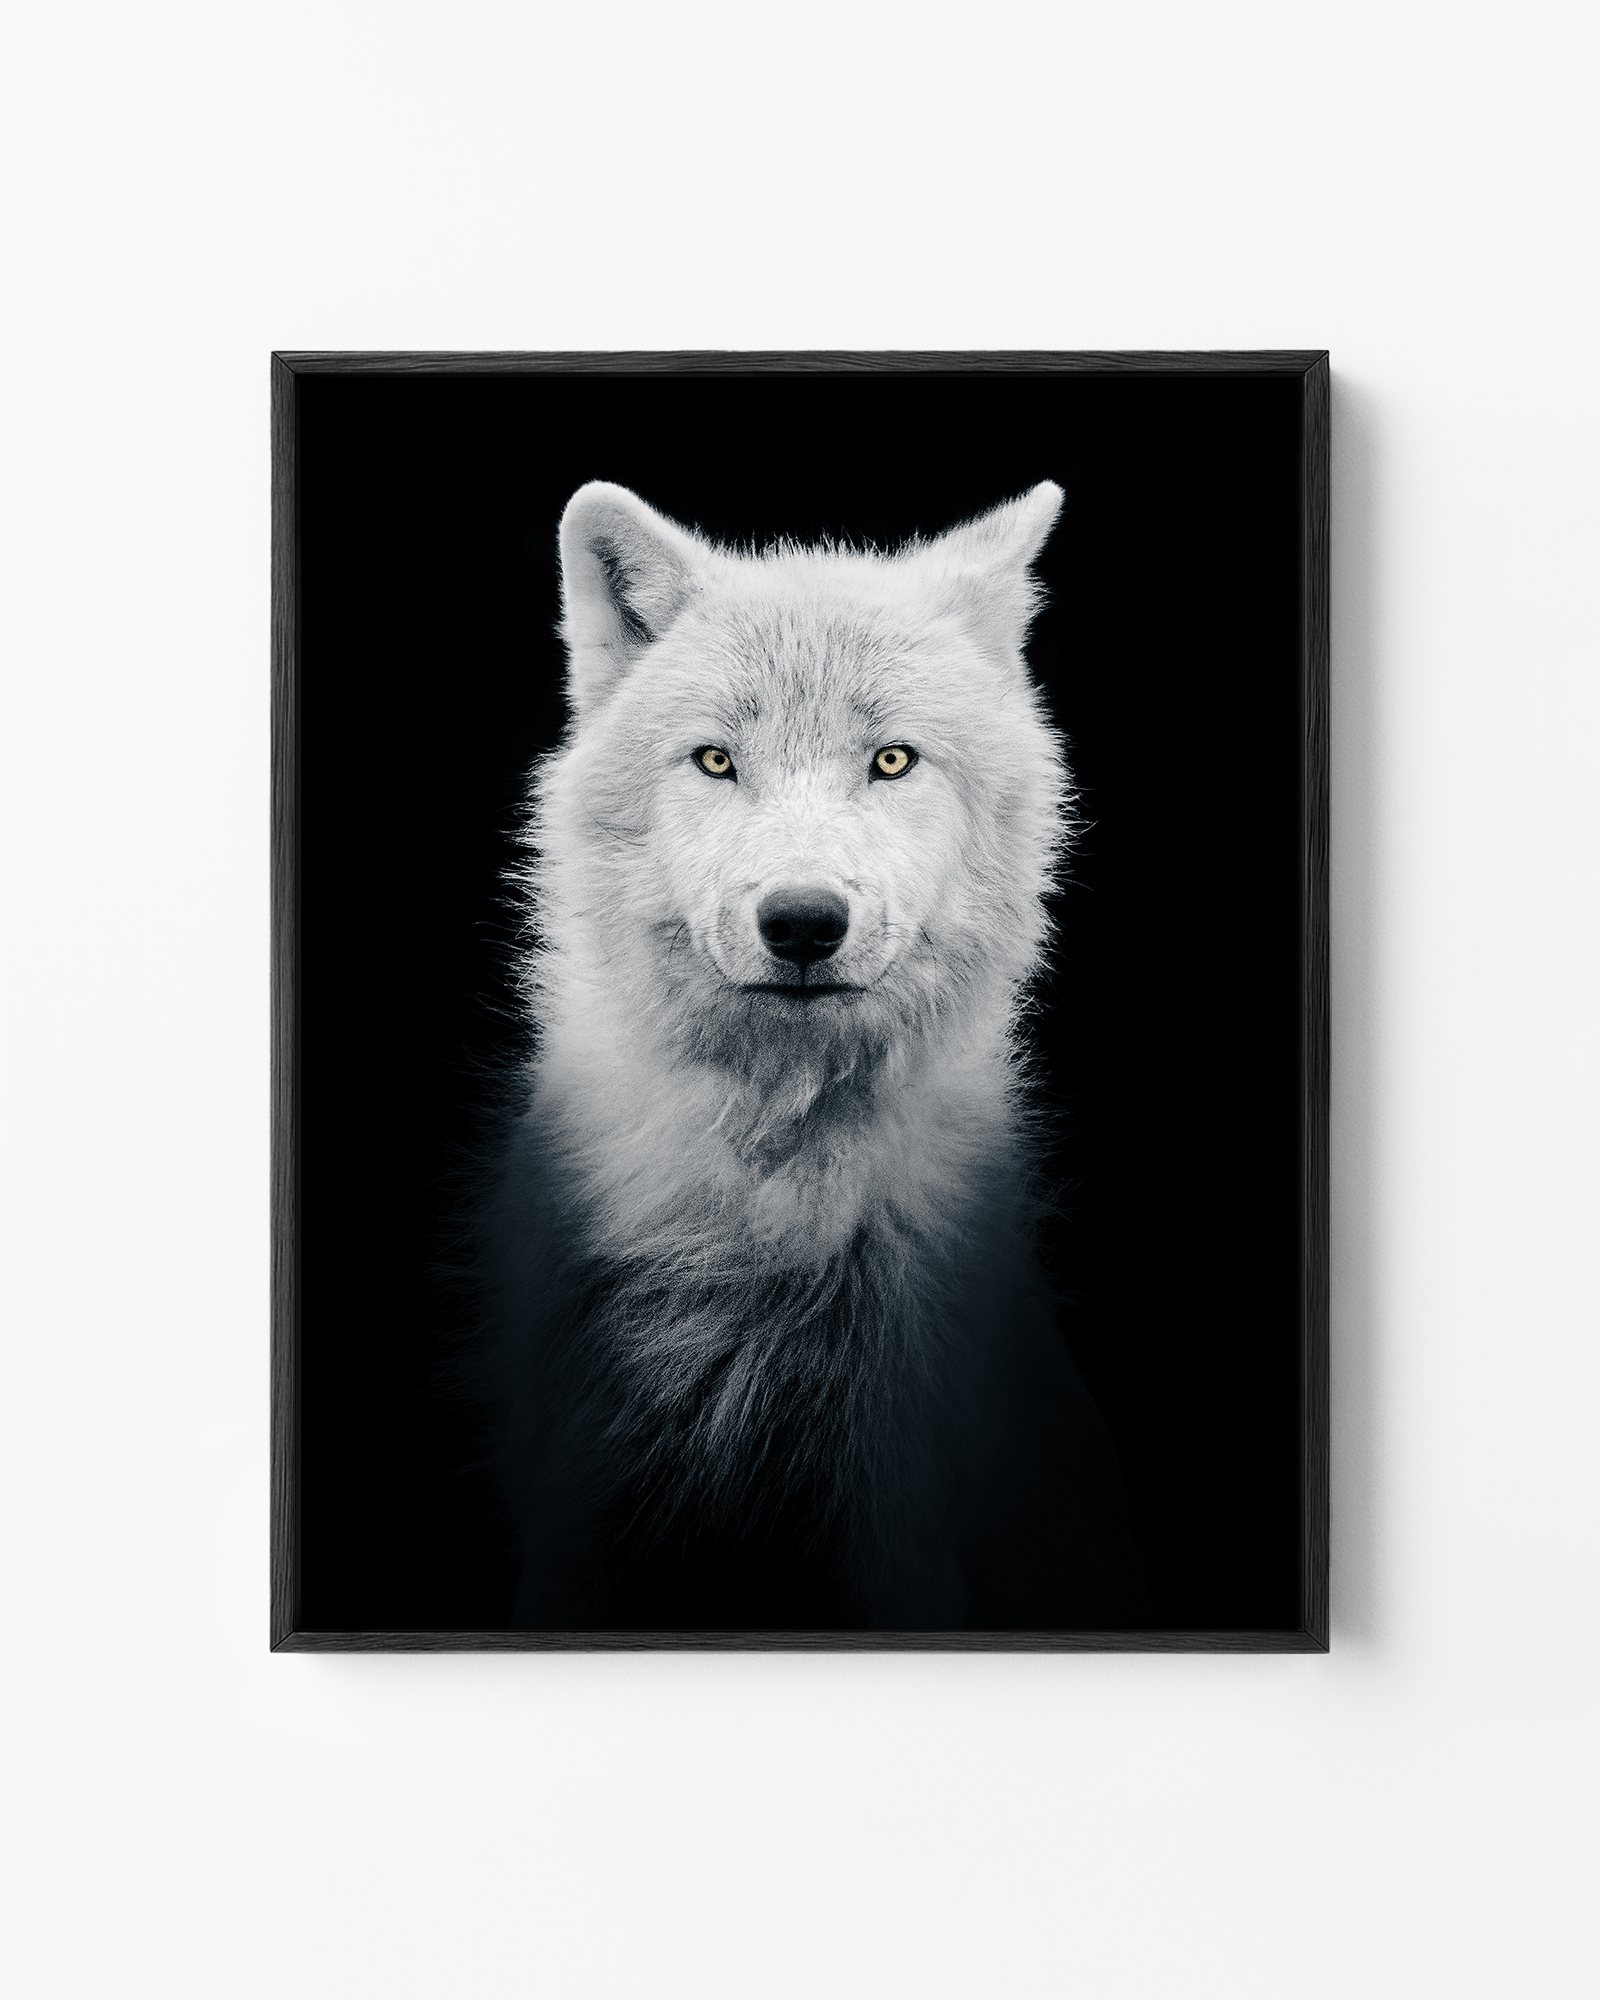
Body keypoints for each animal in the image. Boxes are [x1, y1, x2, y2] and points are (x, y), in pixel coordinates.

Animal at [478, 479, 1145, 1629]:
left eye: (891, 759)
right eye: (716, 760)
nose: (801, 921)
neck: (769, 1198)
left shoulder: (898, 1532)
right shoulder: (575, 1528)